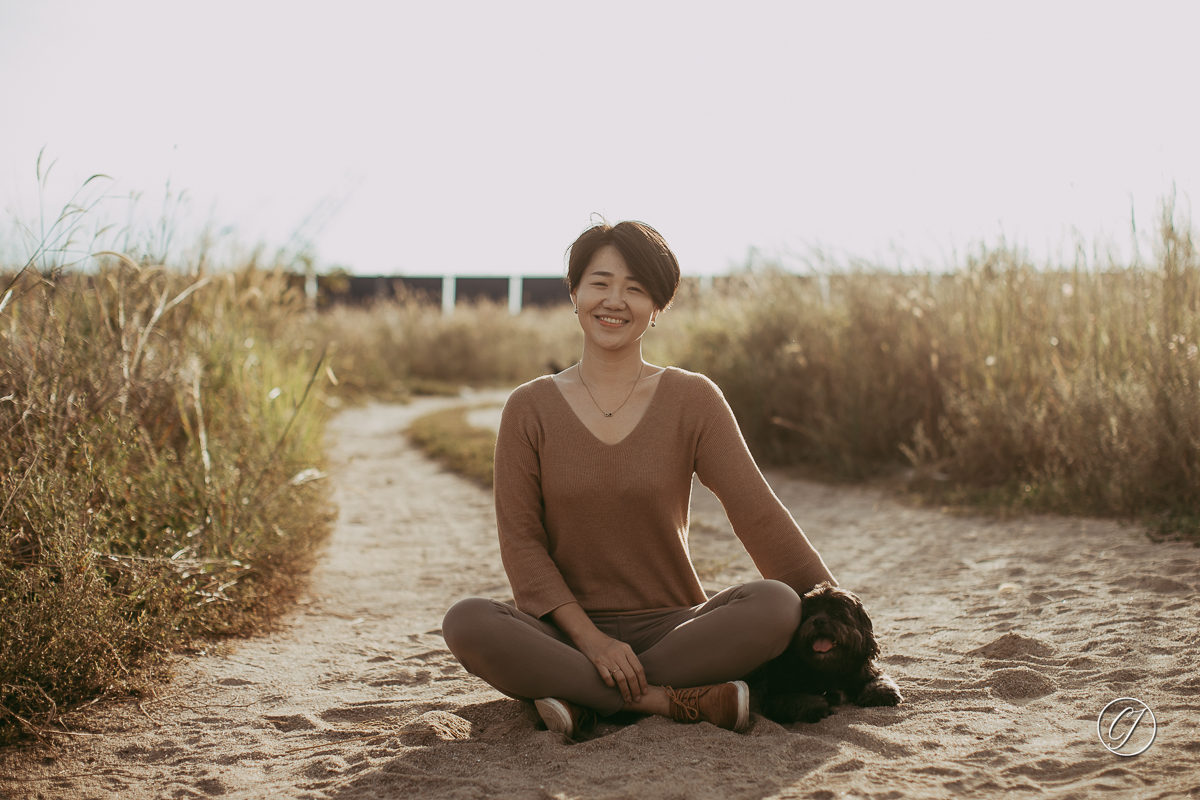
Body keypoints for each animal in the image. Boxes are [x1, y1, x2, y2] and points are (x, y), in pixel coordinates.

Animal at [744, 582, 902, 724]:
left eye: (837, 614)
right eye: (808, 615)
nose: (819, 621)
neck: (828, 669)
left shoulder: (865, 670)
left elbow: (880, 679)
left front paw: (883, 692)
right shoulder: (774, 695)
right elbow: (795, 698)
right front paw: (815, 705)